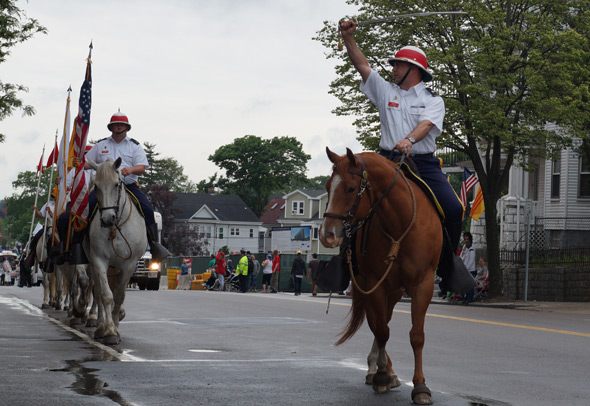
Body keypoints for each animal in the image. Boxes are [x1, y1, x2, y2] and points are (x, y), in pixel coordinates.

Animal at [86, 157, 149, 344]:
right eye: (97, 186)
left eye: (116, 184)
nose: (107, 219)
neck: (115, 228)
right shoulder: (99, 260)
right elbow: (106, 295)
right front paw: (109, 331)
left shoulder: (129, 264)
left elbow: (119, 295)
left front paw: (115, 325)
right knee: (98, 291)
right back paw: (100, 326)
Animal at [320, 147, 444, 404]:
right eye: (327, 186)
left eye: (350, 188)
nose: (327, 235)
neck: (400, 224)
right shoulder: (375, 284)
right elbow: (382, 330)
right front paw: (381, 374)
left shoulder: (423, 284)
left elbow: (416, 335)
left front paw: (420, 386)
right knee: (378, 324)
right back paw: (378, 369)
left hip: (396, 290)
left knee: (384, 319)